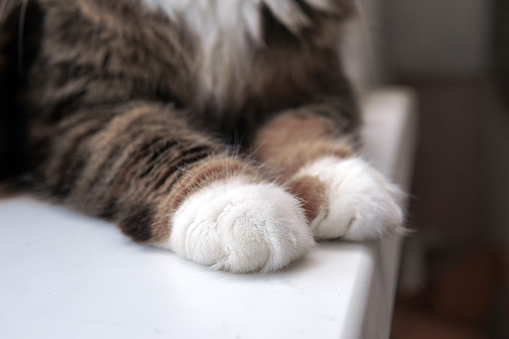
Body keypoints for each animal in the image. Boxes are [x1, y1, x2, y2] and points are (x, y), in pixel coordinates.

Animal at [0, 0, 404, 274]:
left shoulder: (310, 84)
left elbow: (302, 128)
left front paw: (333, 179)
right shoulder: (82, 109)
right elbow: (151, 142)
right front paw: (233, 202)